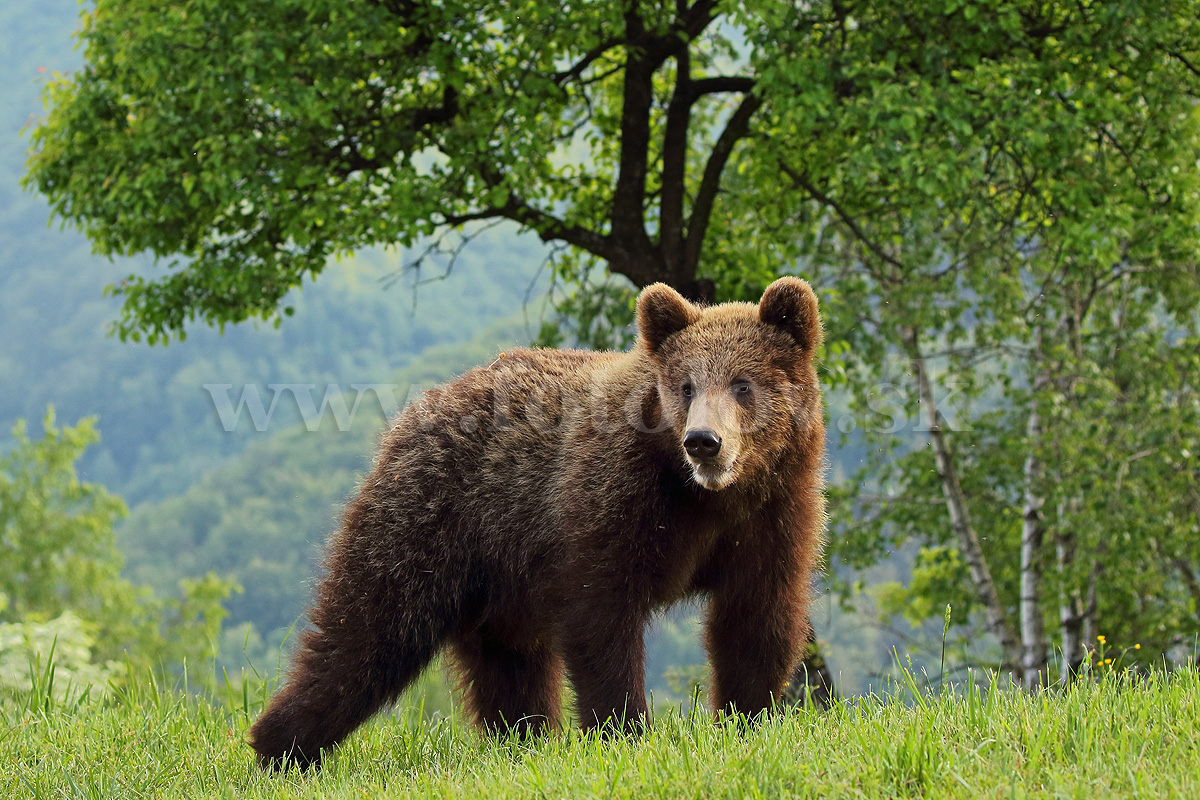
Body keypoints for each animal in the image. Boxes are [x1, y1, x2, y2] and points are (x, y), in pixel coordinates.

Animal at [243, 277, 825, 767]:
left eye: (743, 383)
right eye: (685, 386)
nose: (704, 441)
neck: (705, 498)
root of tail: (420, 407)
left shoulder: (773, 515)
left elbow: (756, 619)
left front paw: (748, 718)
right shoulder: (608, 506)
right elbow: (602, 622)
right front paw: (624, 730)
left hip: (500, 583)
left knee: (509, 663)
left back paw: (523, 740)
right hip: (431, 523)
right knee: (366, 631)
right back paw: (281, 747)